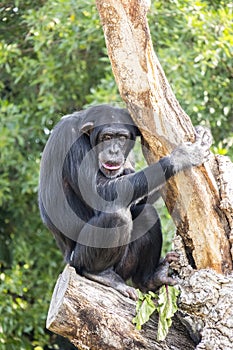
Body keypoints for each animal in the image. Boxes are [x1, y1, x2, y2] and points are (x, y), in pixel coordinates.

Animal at [38, 104, 213, 298]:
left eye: (121, 137)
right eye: (106, 137)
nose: (114, 150)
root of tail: (68, 260)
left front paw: (203, 133)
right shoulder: (70, 140)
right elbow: (100, 191)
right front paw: (181, 157)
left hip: (124, 266)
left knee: (147, 213)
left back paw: (151, 278)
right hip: (79, 259)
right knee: (117, 216)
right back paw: (101, 274)